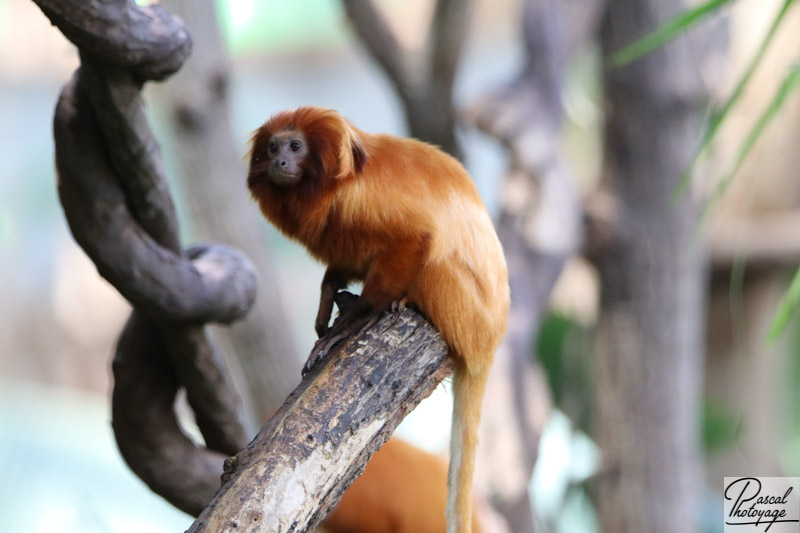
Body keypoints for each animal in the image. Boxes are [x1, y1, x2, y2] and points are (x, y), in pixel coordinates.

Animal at [247, 105, 510, 532]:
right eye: (273, 148)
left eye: (295, 147)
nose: (280, 162)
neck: (331, 185)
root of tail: (490, 342)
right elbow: (343, 263)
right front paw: (328, 292)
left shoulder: (366, 203)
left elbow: (417, 236)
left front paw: (353, 320)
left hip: (459, 304)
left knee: (436, 255)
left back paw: (404, 303)